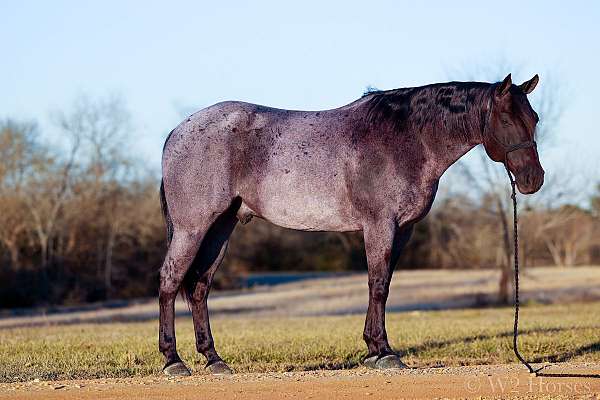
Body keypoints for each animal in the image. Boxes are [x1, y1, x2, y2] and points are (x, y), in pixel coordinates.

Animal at [158, 74, 544, 376]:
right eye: (506, 119)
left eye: (535, 118)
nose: (533, 180)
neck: (405, 139)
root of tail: (178, 131)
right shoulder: (380, 225)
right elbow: (378, 285)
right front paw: (384, 352)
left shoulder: (403, 230)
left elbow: (383, 283)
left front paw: (373, 350)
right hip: (192, 228)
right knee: (170, 280)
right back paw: (173, 360)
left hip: (221, 227)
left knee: (199, 287)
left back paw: (214, 359)